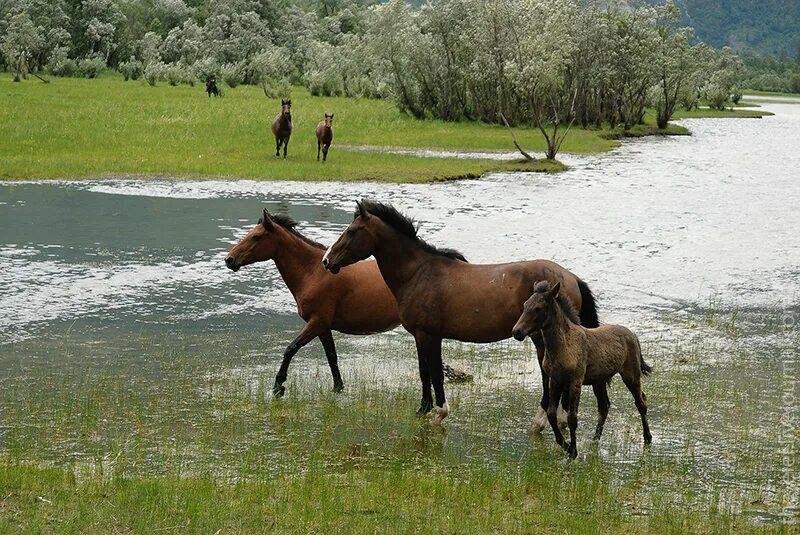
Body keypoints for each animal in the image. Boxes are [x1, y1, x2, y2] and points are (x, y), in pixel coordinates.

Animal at [322, 199, 596, 426]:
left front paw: (440, 413)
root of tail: (570, 278)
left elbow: (435, 374)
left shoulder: (429, 336)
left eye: (351, 231)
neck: (419, 273)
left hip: (541, 338)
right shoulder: (419, 336)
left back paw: (541, 422)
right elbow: (424, 372)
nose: (326, 260)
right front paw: (423, 410)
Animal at [512, 280, 648, 460]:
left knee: (640, 403)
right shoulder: (556, 381)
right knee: (604, 407)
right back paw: (595, 440)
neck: (563, 346)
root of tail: (632, 335)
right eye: (525, 304)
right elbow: (551, 413)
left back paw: (648, 438)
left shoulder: (575, 382)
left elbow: (572, 418)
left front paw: (573, 452)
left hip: (631, 375)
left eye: (538, 308)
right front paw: (566, 445)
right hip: (598, 381)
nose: (516, 331)